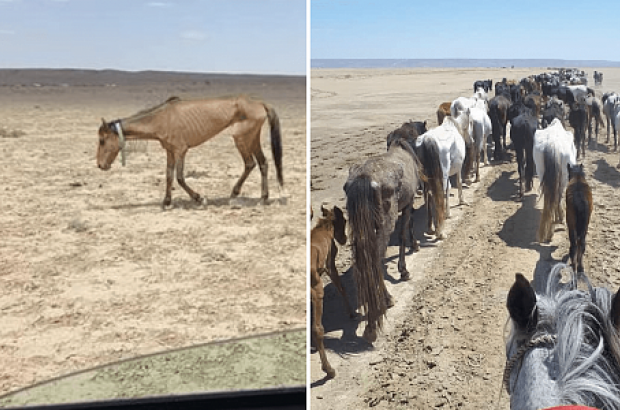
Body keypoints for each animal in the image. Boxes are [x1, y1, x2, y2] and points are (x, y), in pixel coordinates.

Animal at [95, 95, 284, 208]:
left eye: (102, 140)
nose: (100, 165)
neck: (161, 119)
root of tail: (260, 103)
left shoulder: (181, 151)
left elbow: (179, 177)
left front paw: (199, 198)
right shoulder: (170, 152)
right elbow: (169, 176)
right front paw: (167, 202)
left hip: (242, 138)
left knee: (251, 163)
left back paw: (239, 194)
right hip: (251, 138)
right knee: (262, 163)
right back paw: (263, 197)